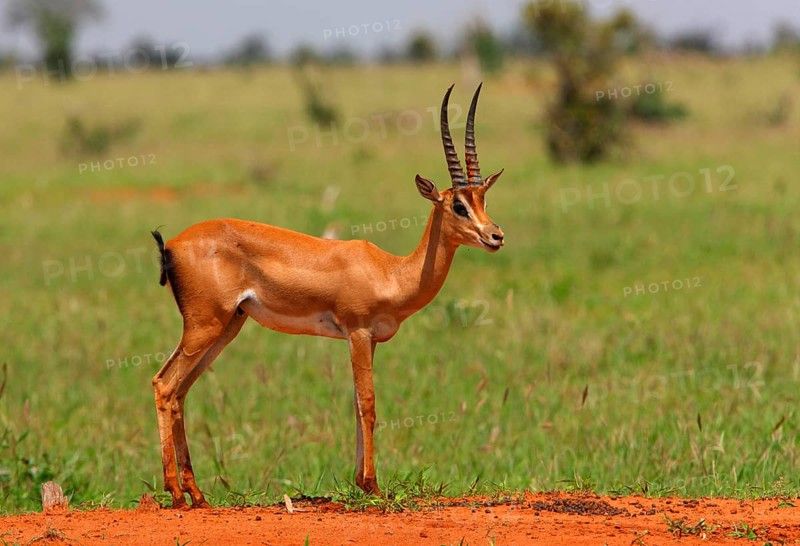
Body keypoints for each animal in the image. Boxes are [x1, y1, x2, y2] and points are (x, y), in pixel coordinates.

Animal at [150, 84, 505, 509]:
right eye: (458, 204)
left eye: (483, 199)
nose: (495, 236)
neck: (391, 271)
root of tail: (171, 245)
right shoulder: (358, 332)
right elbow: (368, 404)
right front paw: (373, 486)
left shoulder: (370, 340)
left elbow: (355, 404)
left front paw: (361, 482)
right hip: (205, 326)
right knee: (164, 385)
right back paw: (176, 493)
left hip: (226, 327)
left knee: (180, 392)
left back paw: (197, 494)